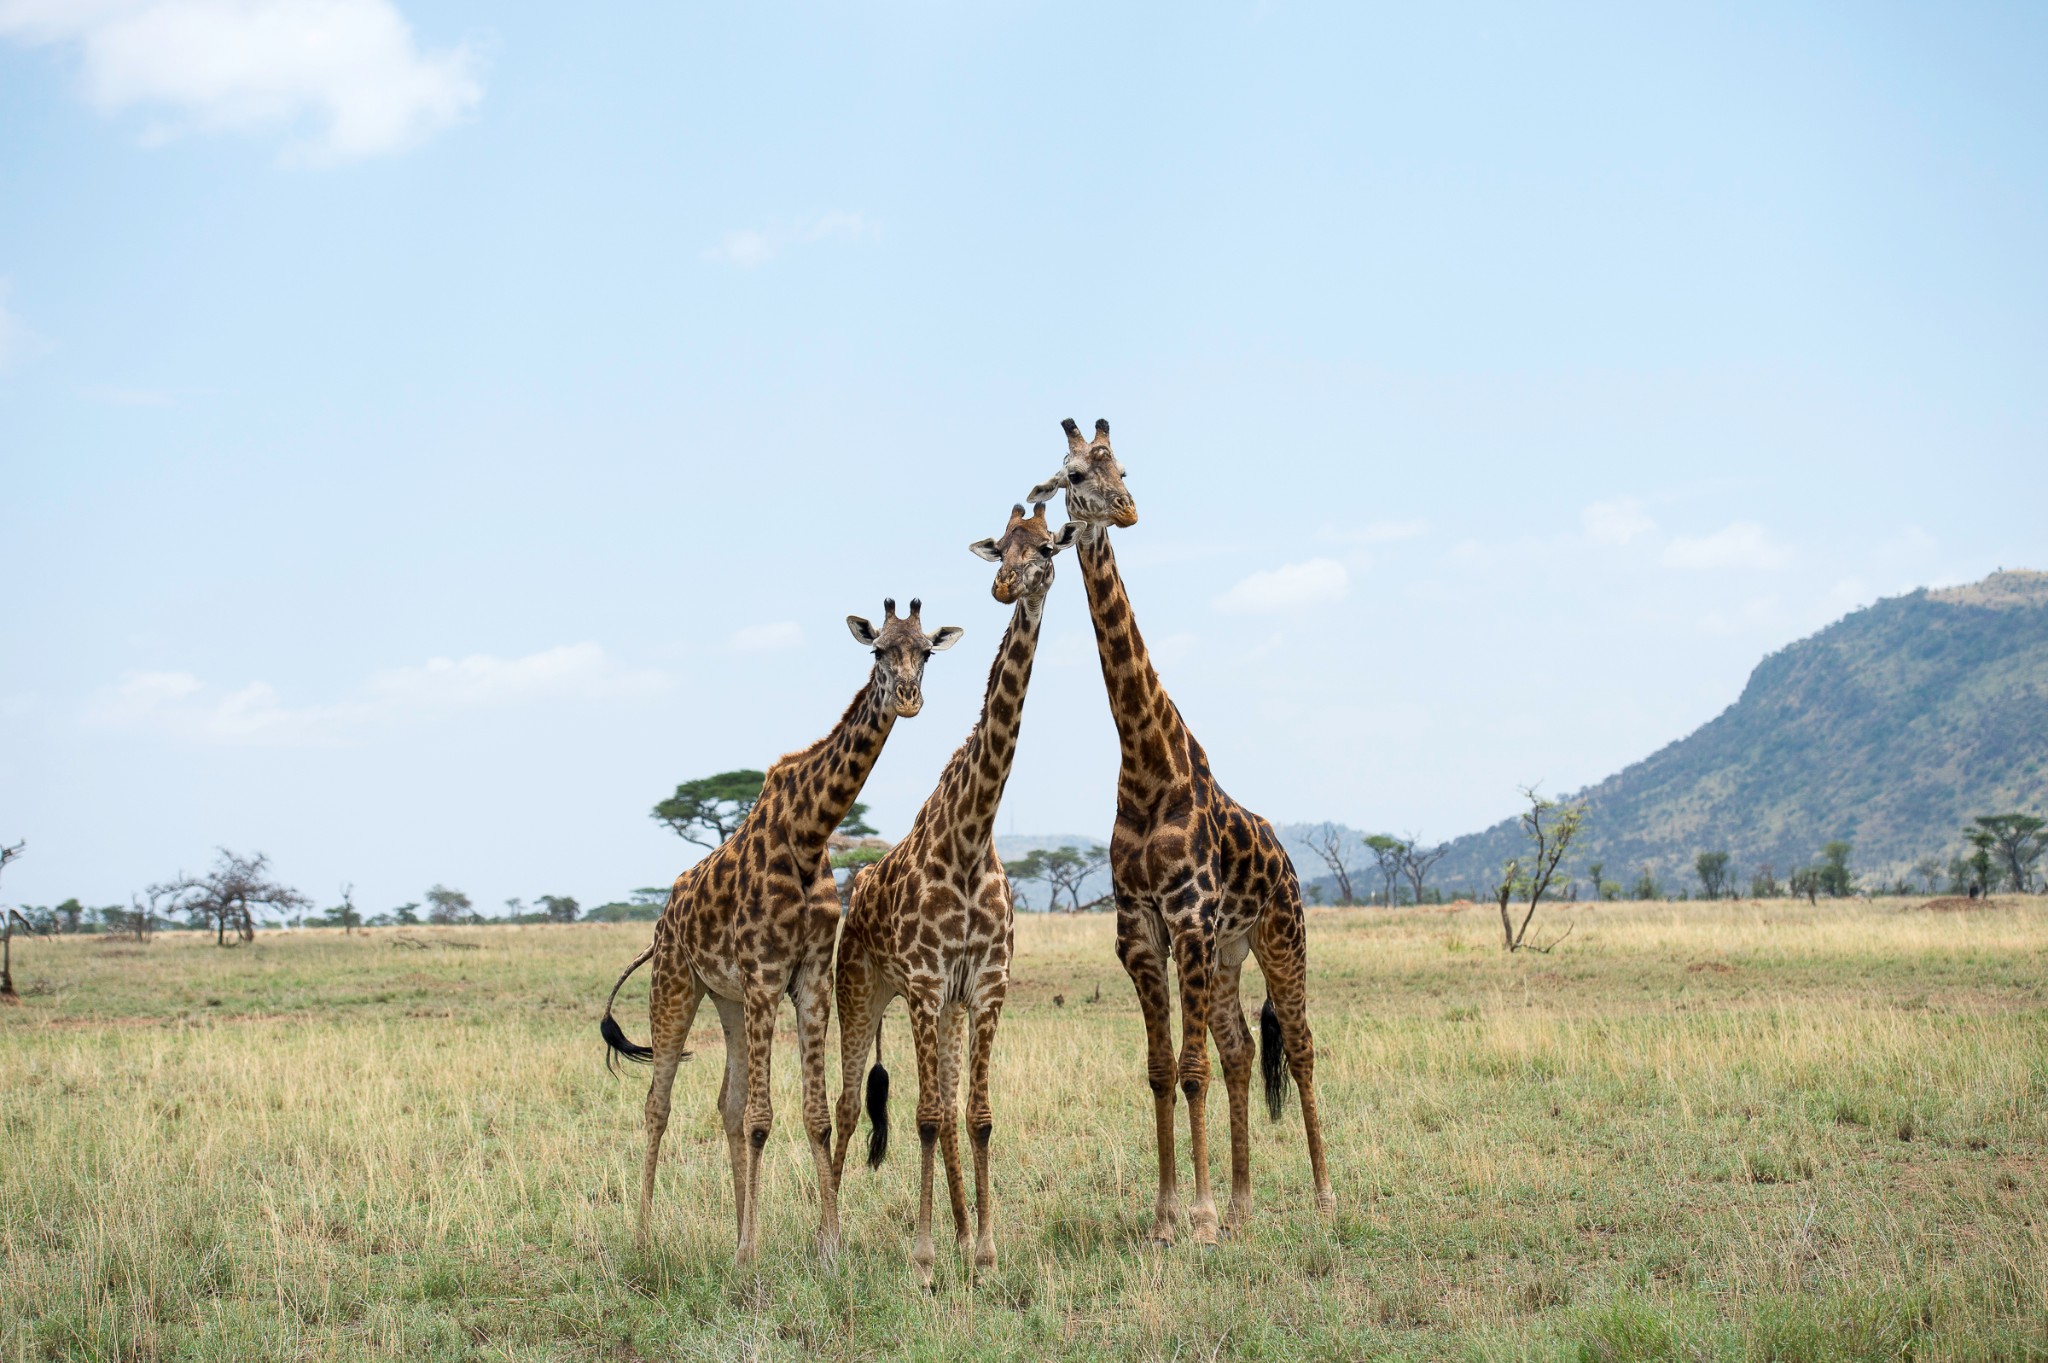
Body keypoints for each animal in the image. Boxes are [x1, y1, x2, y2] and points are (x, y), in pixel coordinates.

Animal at [598, 601, 966, 1260]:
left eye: (926, 651)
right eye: (878, 651)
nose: (908, 698)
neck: (810, 832)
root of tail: (662, 920)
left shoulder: (809, 979)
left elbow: (810, 1115)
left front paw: (827, 1245)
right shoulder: (767, 975)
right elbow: (762, 1119)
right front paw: (750, 1255)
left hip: (726, 997)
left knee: (726, 1102)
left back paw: (735, 1225)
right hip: (677, 983)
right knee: (658, 1104)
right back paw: (643, 1236)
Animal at [831, 499, 1089, 1285]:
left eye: (1047, 546)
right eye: (999, 547)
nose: (1006, 587)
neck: (973, 836)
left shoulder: (985, 985)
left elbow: (974, 1118)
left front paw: (982, 1251)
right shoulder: (920, 981)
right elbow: (921, 1117)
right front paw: (921, 1261)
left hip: (942, 1006)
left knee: (943, 1111)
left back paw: (961, 1229)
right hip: (861, 991)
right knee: (847, 1106)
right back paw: (831, 1238)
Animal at [1024, 413, 1343, 1244]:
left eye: (1125, 468)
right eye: (1074, 475)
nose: (1127, 510)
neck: (1146, 765)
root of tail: (1288, 859)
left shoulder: (1190, 920)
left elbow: (1191, 1068)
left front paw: (1193, 1216)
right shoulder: (1141, 928)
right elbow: (1164, 1068)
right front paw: (1171, 1213)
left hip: (1279, 935)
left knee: (1299, 1046)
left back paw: (1323, 1196)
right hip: (1230, 953)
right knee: (1239, 1050)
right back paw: (1241, 1205)